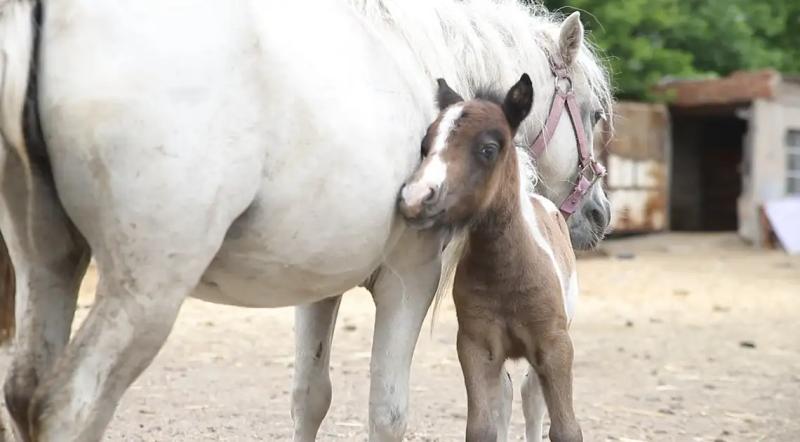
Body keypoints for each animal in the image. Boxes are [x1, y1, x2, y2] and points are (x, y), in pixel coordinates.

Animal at [398, 74, 580, 440]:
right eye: (425, 147)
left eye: (488, 149)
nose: (415, 198)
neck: (506, 270)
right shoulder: (476, 346)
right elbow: (482, 426)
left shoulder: (555, 345)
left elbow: (566, 428)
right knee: (507, 395)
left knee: (531, 396)